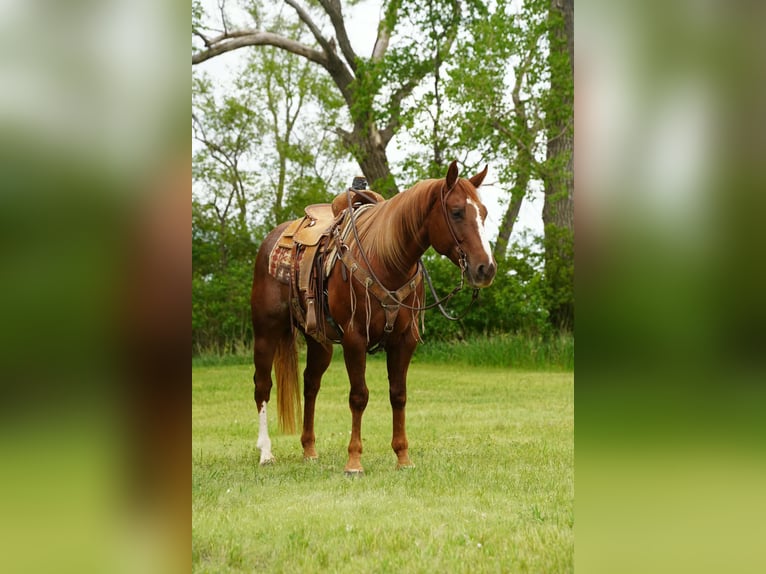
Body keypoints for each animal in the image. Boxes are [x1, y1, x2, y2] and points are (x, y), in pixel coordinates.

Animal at [250, 160, 496, 474]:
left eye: (483, 212)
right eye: (456, 212)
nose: (485, 268)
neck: (387, 261)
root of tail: (273, 239)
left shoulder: (405, 340)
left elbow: (398, 394)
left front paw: (403, 457)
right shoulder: (355, 338)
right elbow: (359, 396)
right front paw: (354, 461)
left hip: (320, 341)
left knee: (310, 384)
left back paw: (309, 449)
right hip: (266, 333)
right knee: (262, 386)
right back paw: (265, 453)